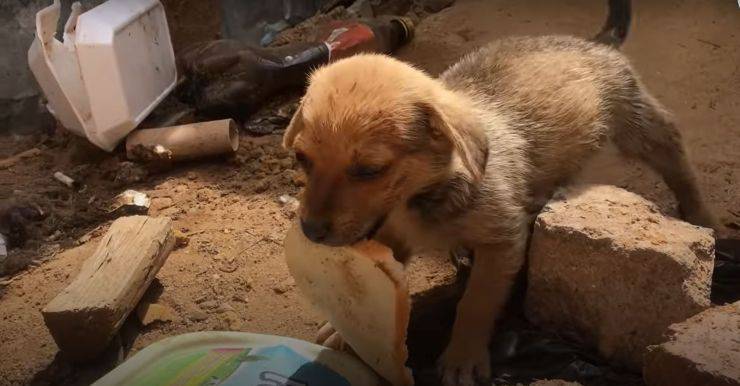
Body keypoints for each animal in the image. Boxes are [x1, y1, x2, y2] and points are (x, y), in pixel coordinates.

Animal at [280, 1, 712, 384]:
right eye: (302, 159)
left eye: (370, 170)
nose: (310, 231)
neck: (423, 196)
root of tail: (592, 43)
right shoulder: (392, 238)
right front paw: (343, 329)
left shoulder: (502, 242)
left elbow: (476, 302)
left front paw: (463, 357)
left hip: (638, 122)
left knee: (675, 156)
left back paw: (700, 214)